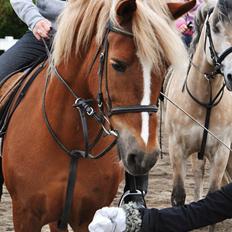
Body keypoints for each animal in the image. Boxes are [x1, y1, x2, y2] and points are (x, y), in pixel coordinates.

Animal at [0, 0, 194, 232]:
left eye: (164, 67)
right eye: (117, 64)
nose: (144, 156)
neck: (72, 141)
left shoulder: (87, 217)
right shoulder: (25, 216)